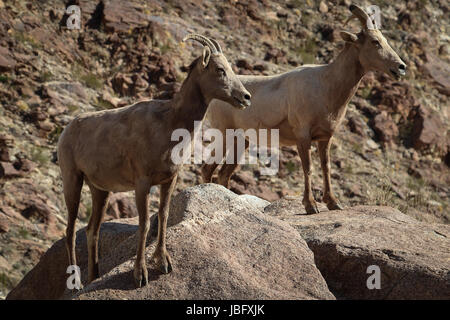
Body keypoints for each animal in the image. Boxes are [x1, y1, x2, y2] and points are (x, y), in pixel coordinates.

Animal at [56, 33, 251, 286]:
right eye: (220, 69)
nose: (246, 97)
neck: (169, 123)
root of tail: (66, 130)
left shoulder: (169, 180)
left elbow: (164, 216)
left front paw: (164, 263)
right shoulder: (142, 183)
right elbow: (145, 224)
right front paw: (141, 274)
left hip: (100, 191)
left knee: (92, 231)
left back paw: (94, 278)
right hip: (73, 181)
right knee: (70, 232)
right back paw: (77, 283)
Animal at [202, 4, 406, 212]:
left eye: (384, 40)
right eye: (375, 42)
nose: (401, 67)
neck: (326, 85)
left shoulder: (325, 138)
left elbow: (326, 167)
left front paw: (333, 203)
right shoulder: (303, 136)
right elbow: (308, 168)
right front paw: (311, 206)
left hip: (241, 142)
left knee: (224, 174)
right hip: (225, 135)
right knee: (207, 168)